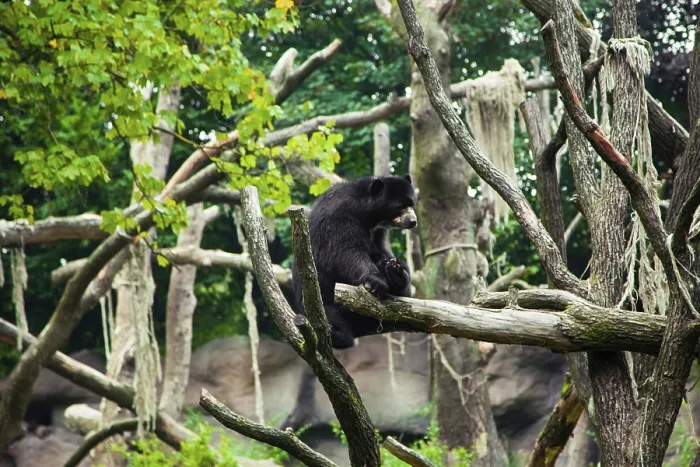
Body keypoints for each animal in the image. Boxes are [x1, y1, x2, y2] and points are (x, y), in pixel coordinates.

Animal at [291, 174, 418, 349]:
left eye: (411, 203)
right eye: (400, 206)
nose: (413, 221)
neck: (370, 217)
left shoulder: (378, 232)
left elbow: (381, 253)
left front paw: (395, 270)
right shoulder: (339, 217)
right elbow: (344, 251)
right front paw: (375, 282)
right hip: (318, 302)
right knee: (331, 316)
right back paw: (337, 334)